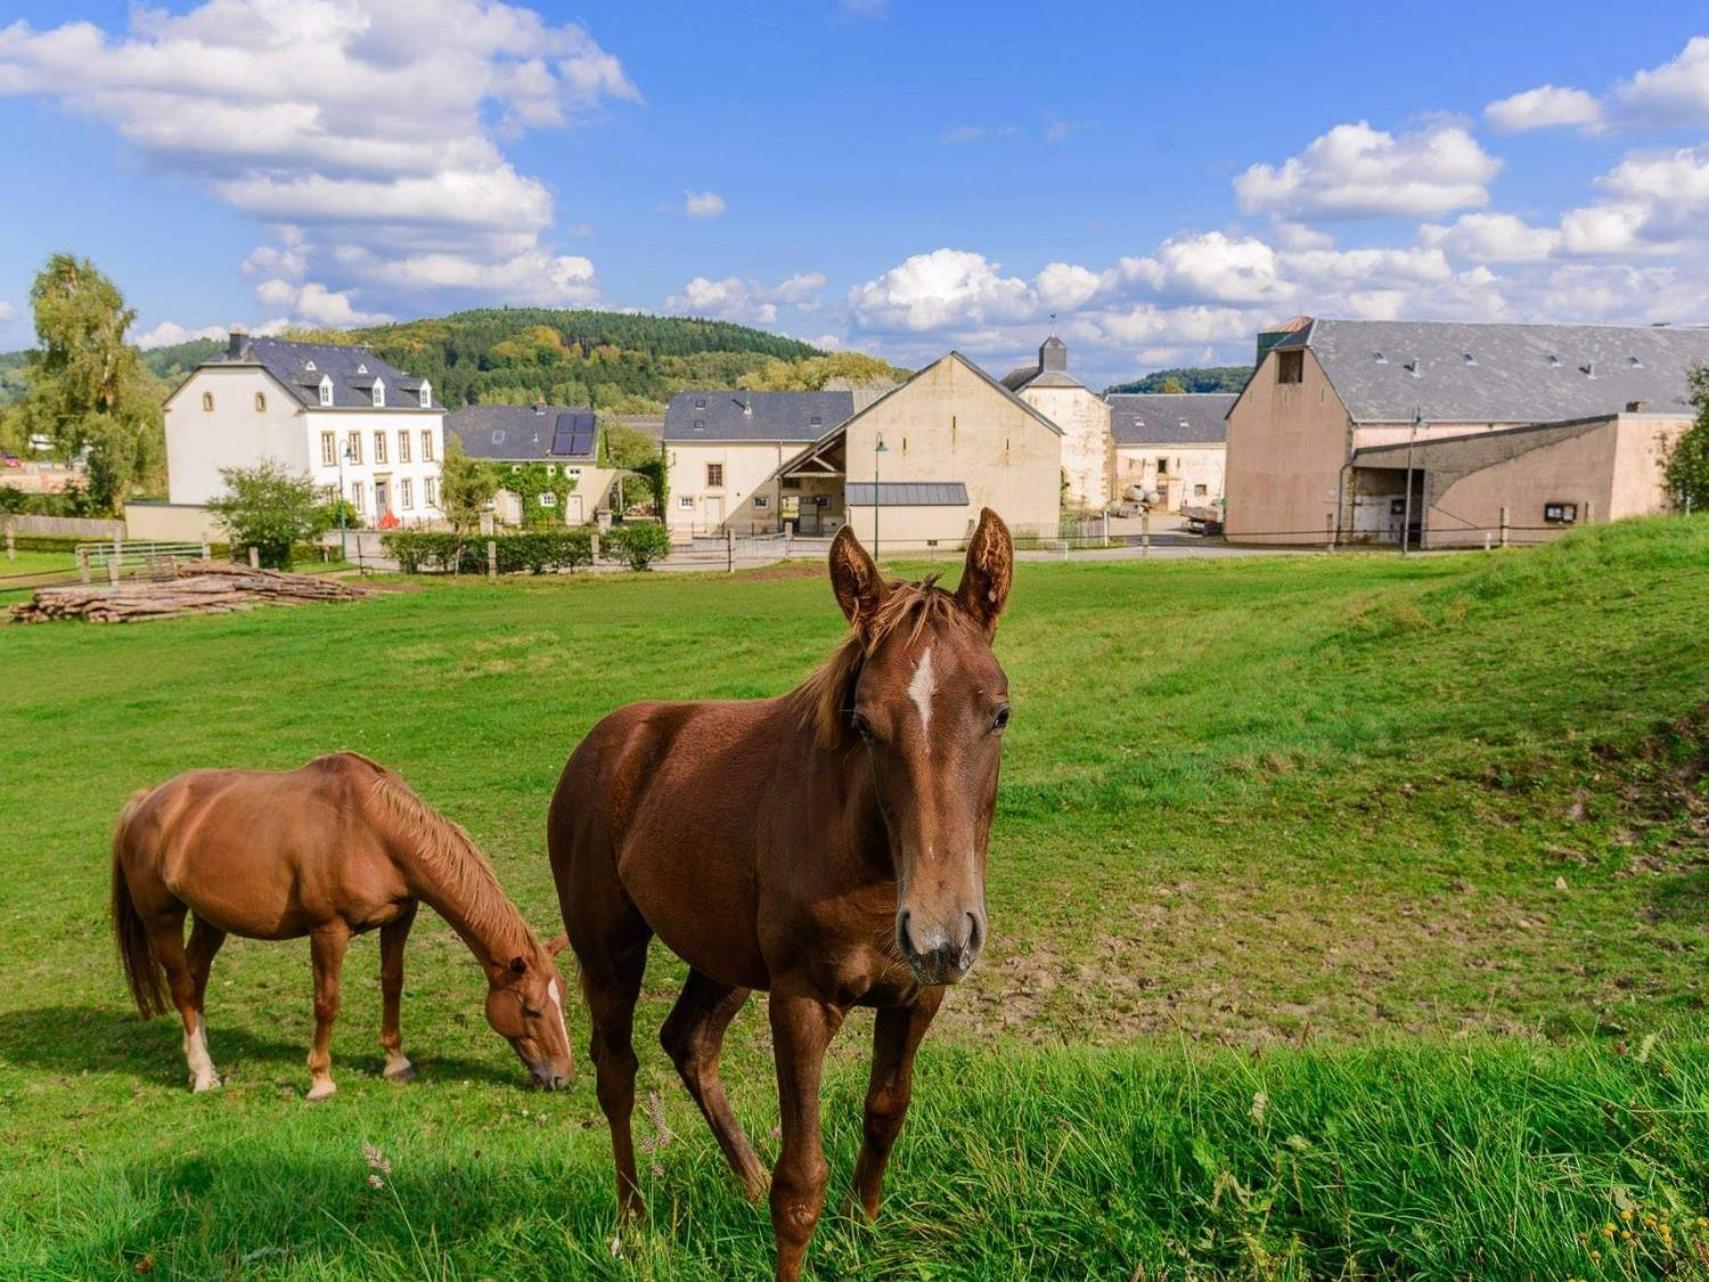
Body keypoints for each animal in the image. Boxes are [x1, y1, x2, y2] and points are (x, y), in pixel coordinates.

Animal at [115, 752, 581, 1107]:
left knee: (196, 981)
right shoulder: (328, 931)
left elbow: (392, 983)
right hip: (162, 918)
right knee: (181, 985)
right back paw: (202, 1073)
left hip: (212, 920)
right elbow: (327, 1002)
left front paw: (396, 1062)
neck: (372, 830)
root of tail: (146, 802)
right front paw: (321, 1080)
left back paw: (203, 1058)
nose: (562, 1077)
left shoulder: (400, 918)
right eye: (532, 1009)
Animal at [550, 505, 1011, 1278]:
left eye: (1000, 713)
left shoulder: (918, 999)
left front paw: (861, 1232)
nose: (940, 935)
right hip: (609, 952)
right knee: (616, 1072)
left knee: (690, 1044)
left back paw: (742, 1180)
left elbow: (884, 1115)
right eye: (863, 721)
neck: (871, 868)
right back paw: (633, 1223)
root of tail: (603, 742)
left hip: (723, 959)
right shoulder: (799, 1003)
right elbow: (800, 1185)